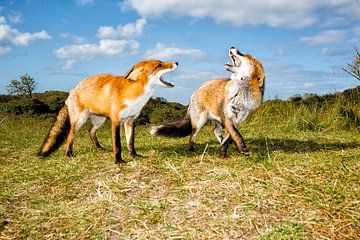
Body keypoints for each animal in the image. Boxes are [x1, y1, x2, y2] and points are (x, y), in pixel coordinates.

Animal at [38, 59, 178, 163]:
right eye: (158, 65)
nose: (176, 62)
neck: (135, 95)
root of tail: (71, 91)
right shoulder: (116, 120)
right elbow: (117, 144)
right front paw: (119, 161)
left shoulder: (130, 120)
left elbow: (130, 142)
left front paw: (134, 156)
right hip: (79, 121)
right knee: (70, 137)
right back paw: (69, 154)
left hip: (99, 120)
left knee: (90, 131)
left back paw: (99, 148)